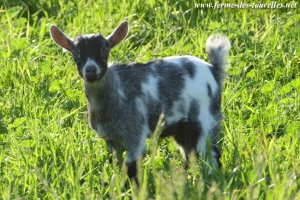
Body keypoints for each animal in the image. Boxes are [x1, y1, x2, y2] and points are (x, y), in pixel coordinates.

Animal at [50, 20, 231, 184]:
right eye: (76, 53)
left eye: (104, 50)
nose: (91, 70)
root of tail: (214, 70)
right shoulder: (111, 139)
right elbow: (117, 164)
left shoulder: (135, 135)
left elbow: (132, 168)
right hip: (183, 128)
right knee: (190, 153)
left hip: (205, 119)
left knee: (211, 152)